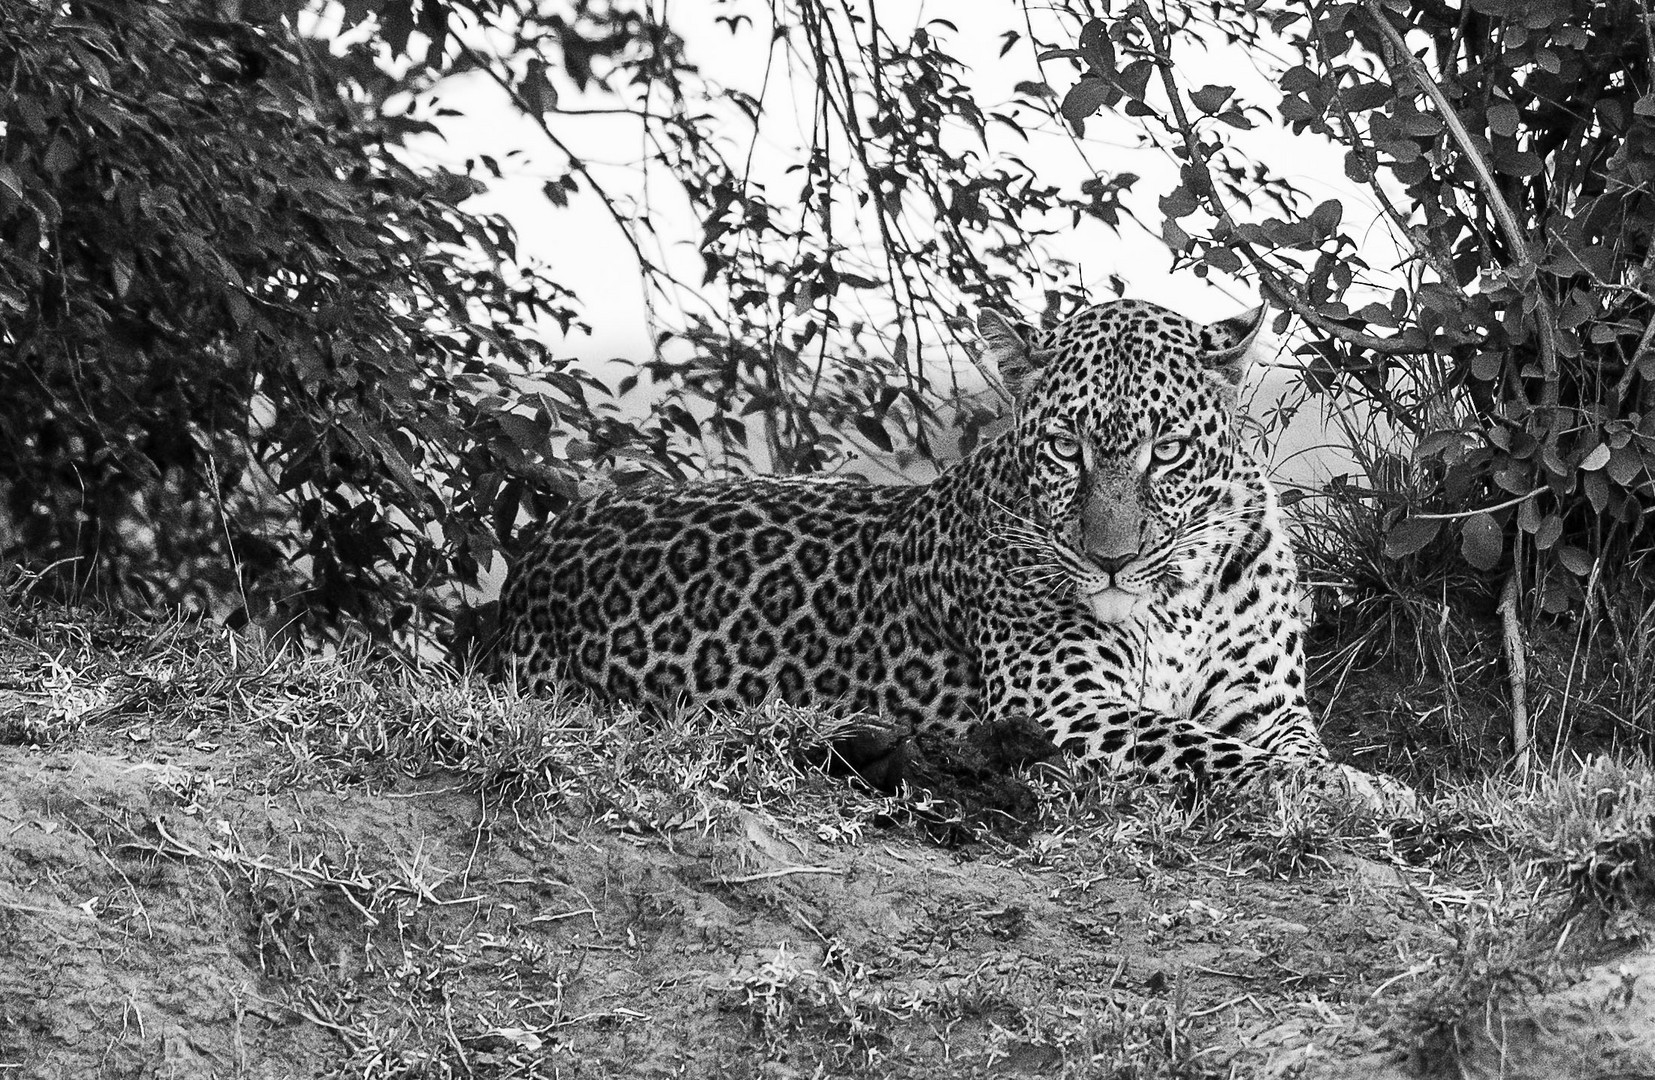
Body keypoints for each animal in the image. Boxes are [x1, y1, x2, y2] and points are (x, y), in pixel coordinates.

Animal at [496, 297, 1416, 807]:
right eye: (1067, 450)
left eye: (1165, 452)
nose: (1110, 561)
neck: (1178, 598)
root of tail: (531, 564)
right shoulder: (1060, 704)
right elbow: (1210, 750)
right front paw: (1362, 790)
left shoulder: (1264, 702)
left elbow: (1275, 746)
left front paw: (1346, 780)